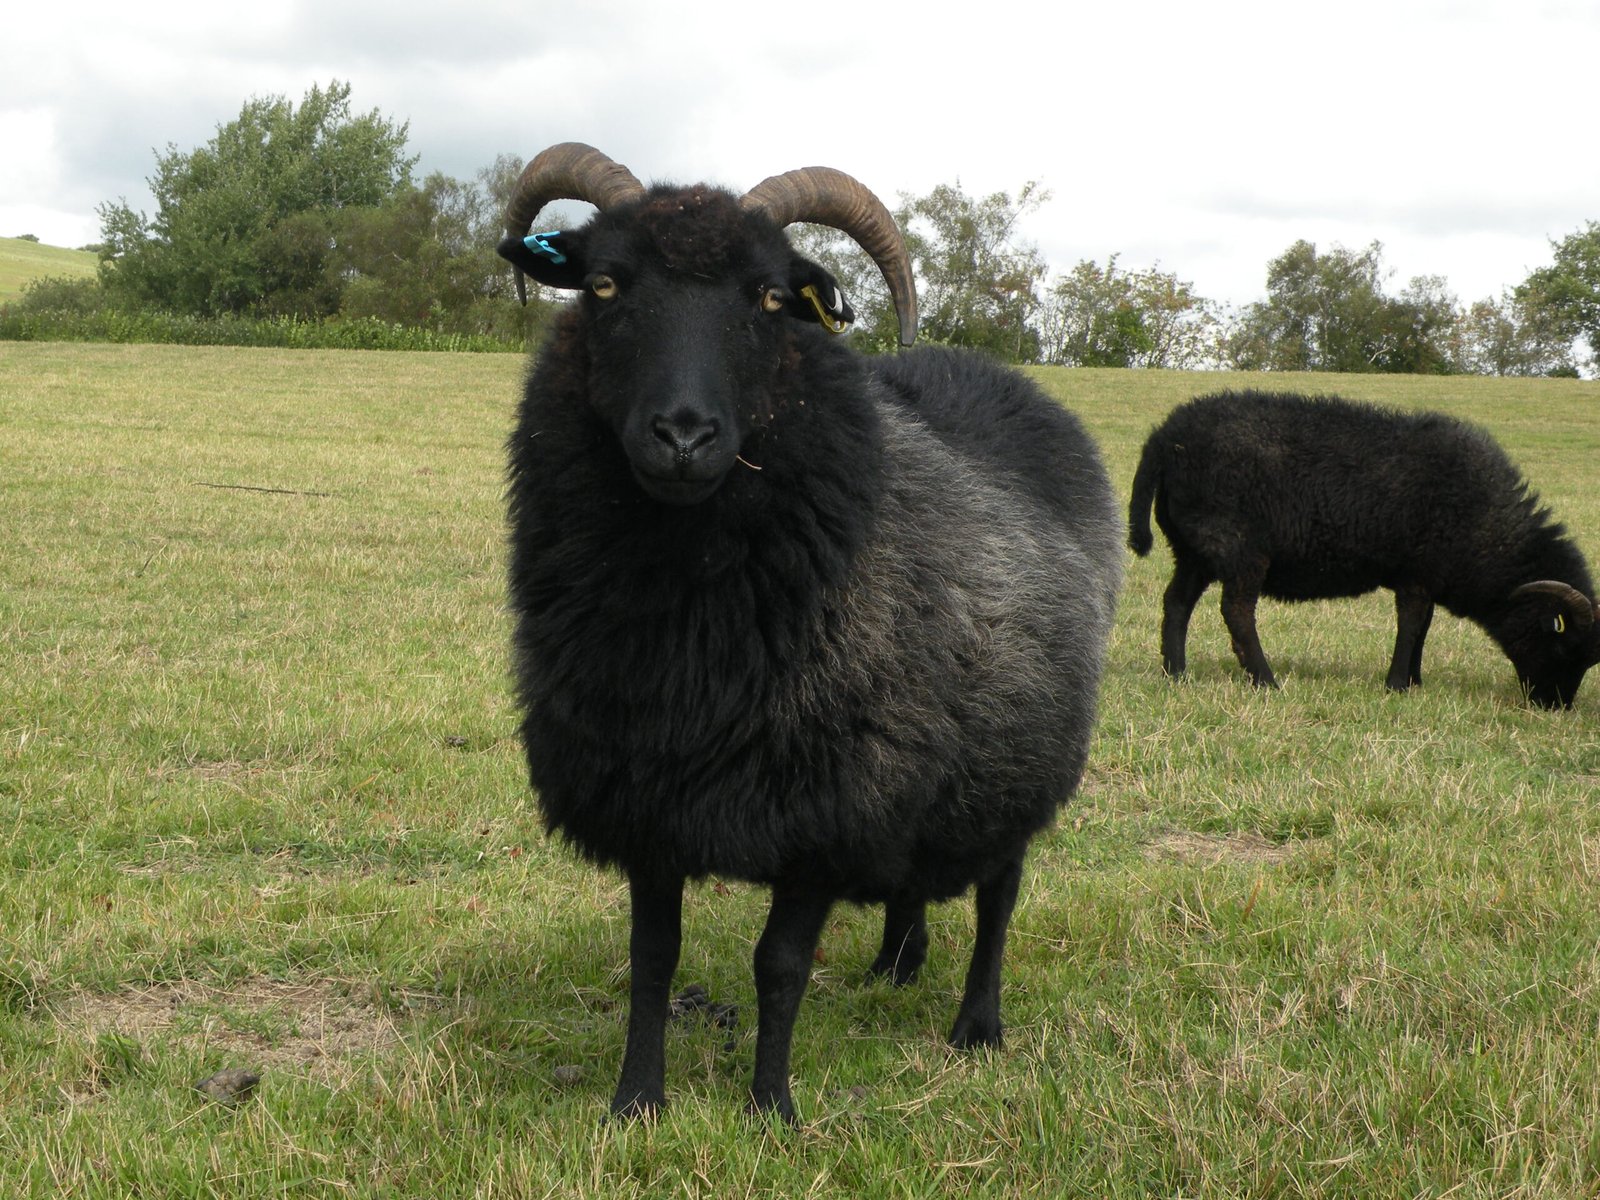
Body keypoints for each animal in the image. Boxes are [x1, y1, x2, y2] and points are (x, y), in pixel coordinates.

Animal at [496, 143, 1123, 1122]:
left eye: (768, 298)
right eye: (602, 284)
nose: (683, 434)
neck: (689, 628)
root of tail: (1002, 378)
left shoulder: (830, 806)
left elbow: (780, 966)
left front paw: (770, 1109)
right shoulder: (646, 792)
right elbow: (652, 962)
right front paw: (636, 1102)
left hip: (1019, 754)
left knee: (1001, 892)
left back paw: (976, 1025)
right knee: (918, 877)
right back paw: (897, 964)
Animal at [1128, 389, 1600, 707]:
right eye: (1562, 646)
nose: (1553, 707)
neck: (1486, 530)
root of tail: (1164, 438)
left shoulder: (1424, 577)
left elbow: (1422, 627)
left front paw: (1415, 680)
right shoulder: (1416, 574)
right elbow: (1411, 626)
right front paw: (1397, 685)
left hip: (1193, 549)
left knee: (1177, 602)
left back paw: (1176, 674)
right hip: (1237, 546)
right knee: (1237, 612)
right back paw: (1265, 680)